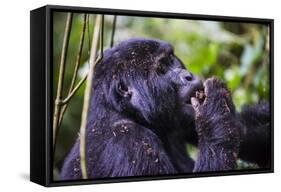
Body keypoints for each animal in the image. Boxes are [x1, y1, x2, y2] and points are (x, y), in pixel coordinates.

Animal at [60, 38, 270, 180]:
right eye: (162, 68)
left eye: (171, 60)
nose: (188, 76)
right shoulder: (129, 142)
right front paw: (215, 109)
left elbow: (246, 131)